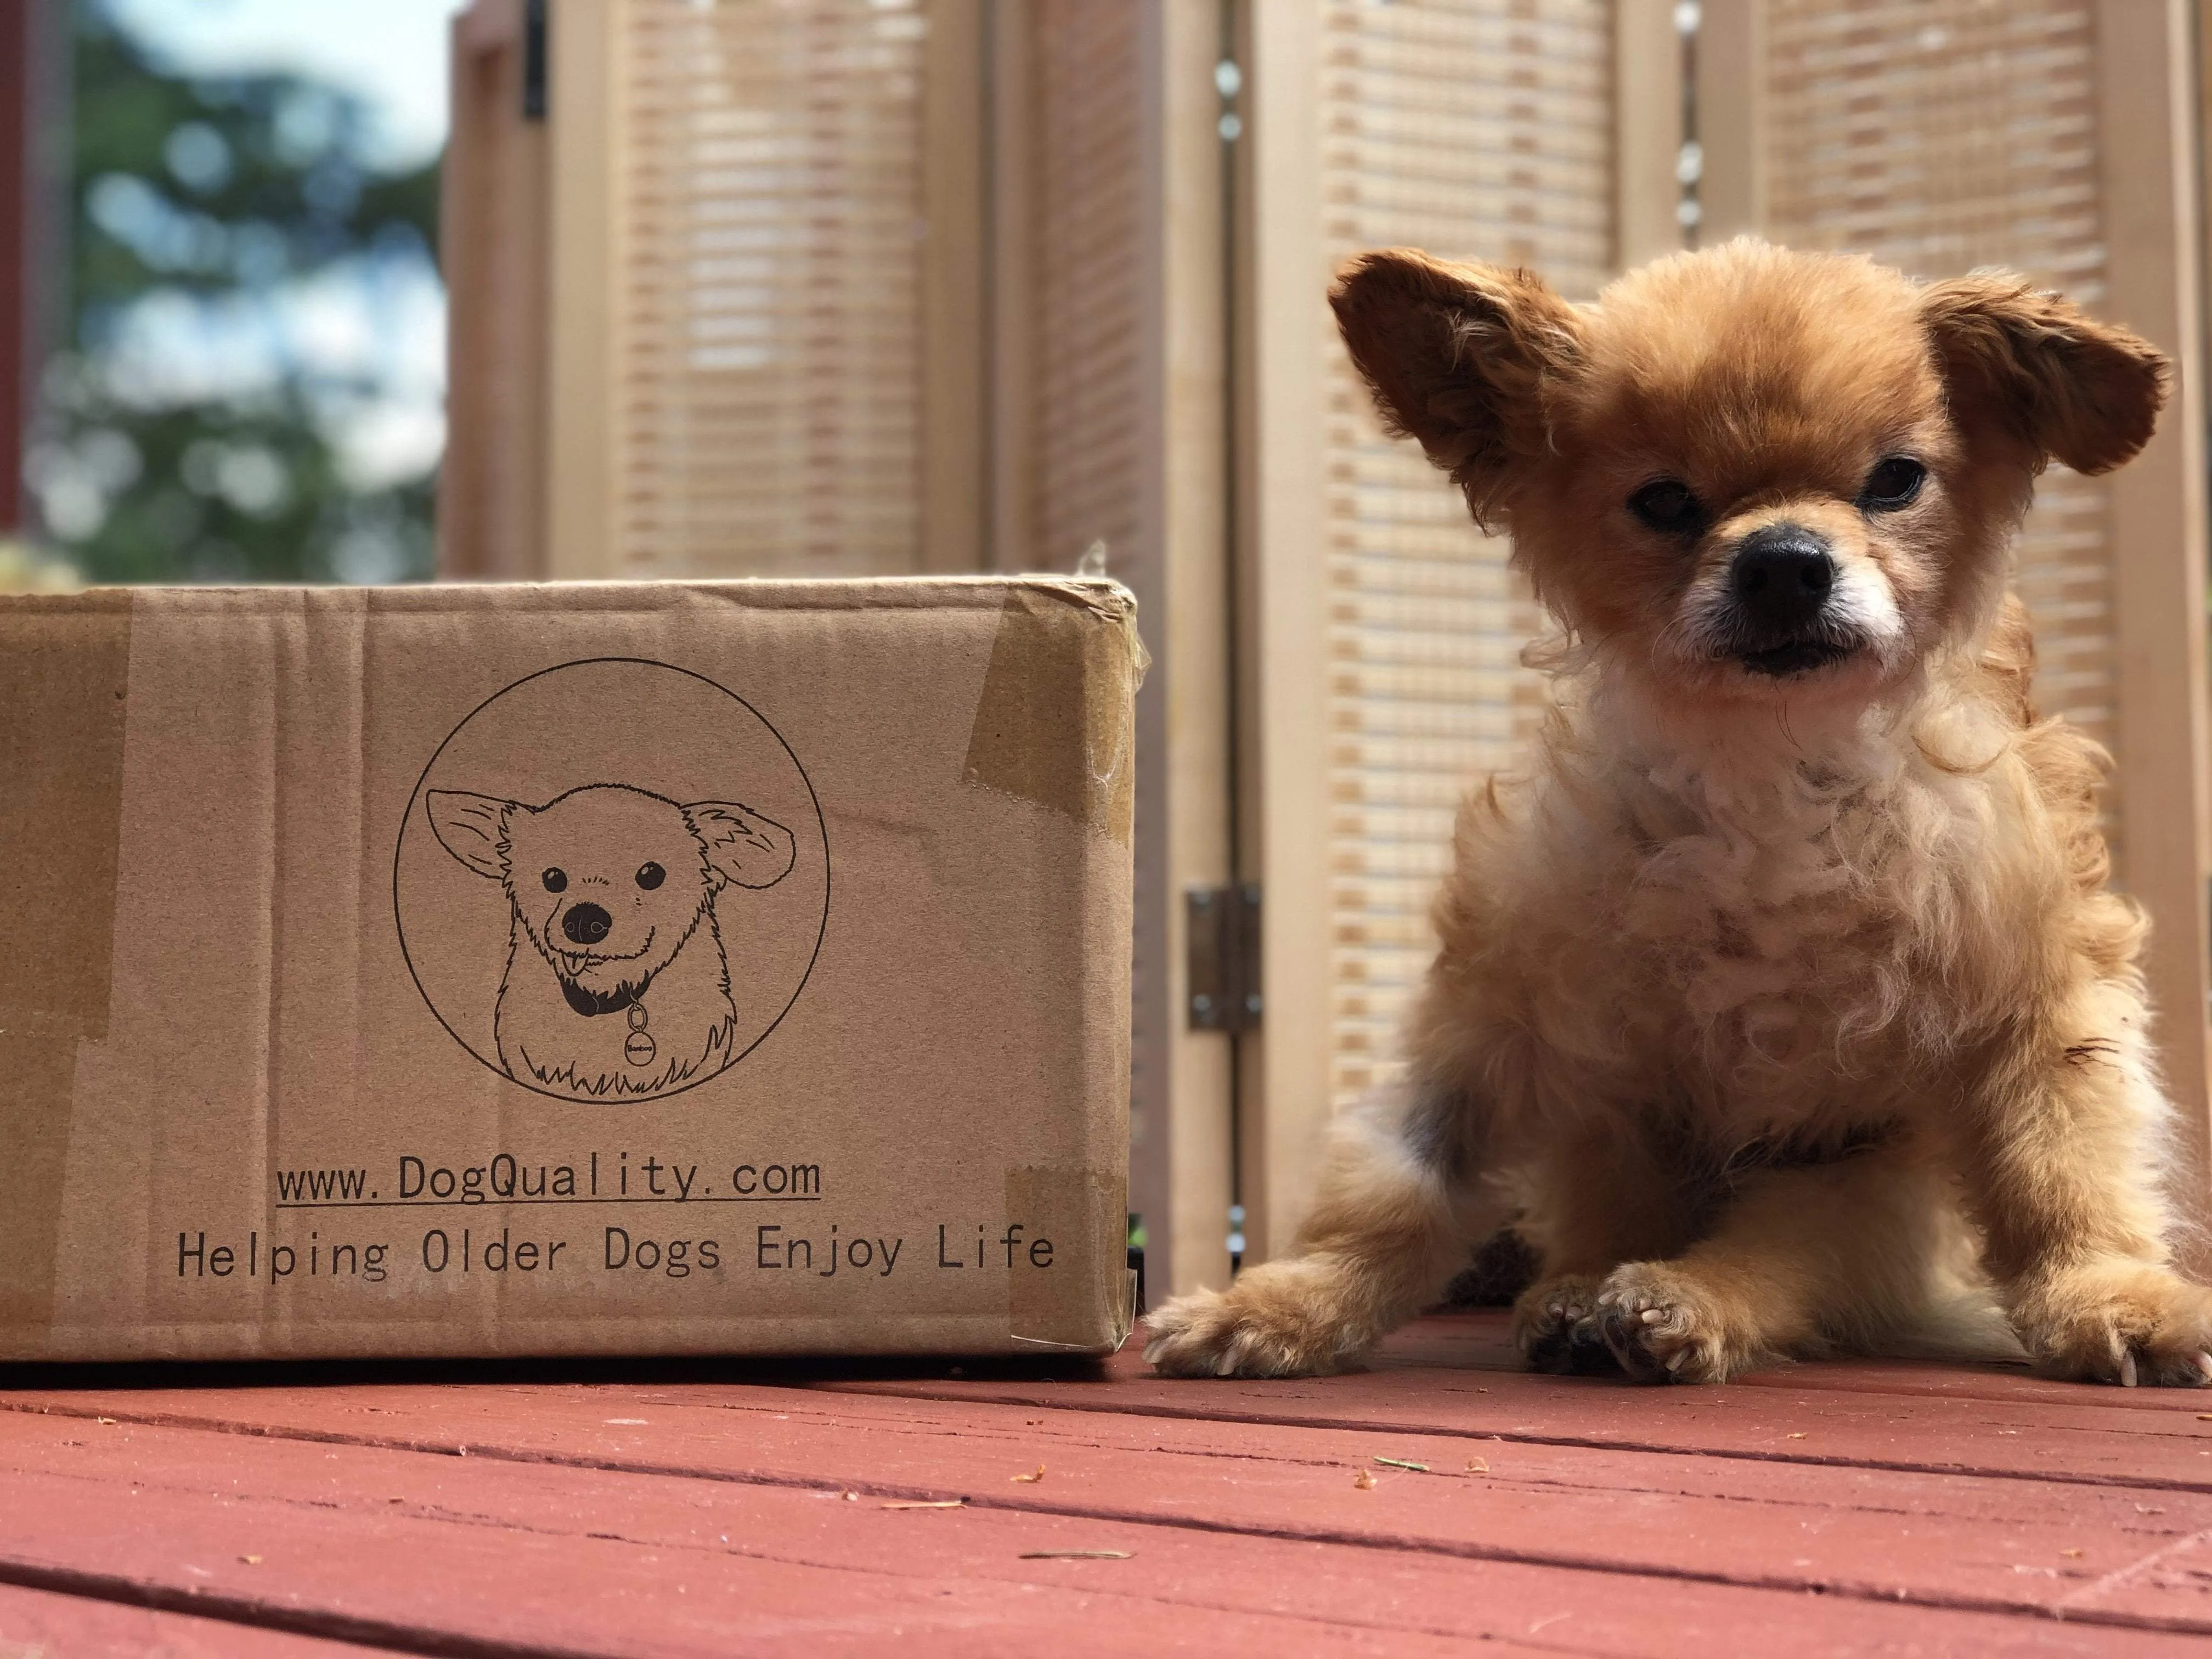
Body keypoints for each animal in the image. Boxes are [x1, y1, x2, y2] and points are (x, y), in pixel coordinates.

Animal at [1141, 236, 2212, 1389]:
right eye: (1663, 502)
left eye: (1894, 481)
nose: (1784, 559)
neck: (1768, 773)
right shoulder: (1496, 1023)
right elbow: (1395, 1181)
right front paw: (1283, 1300)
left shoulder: (2038, 1000)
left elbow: (2064, 1160)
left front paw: (2114, 1292)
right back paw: (1573, 1296)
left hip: (1854, 1190)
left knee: (1782, 1257)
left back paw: (1673, 1300)